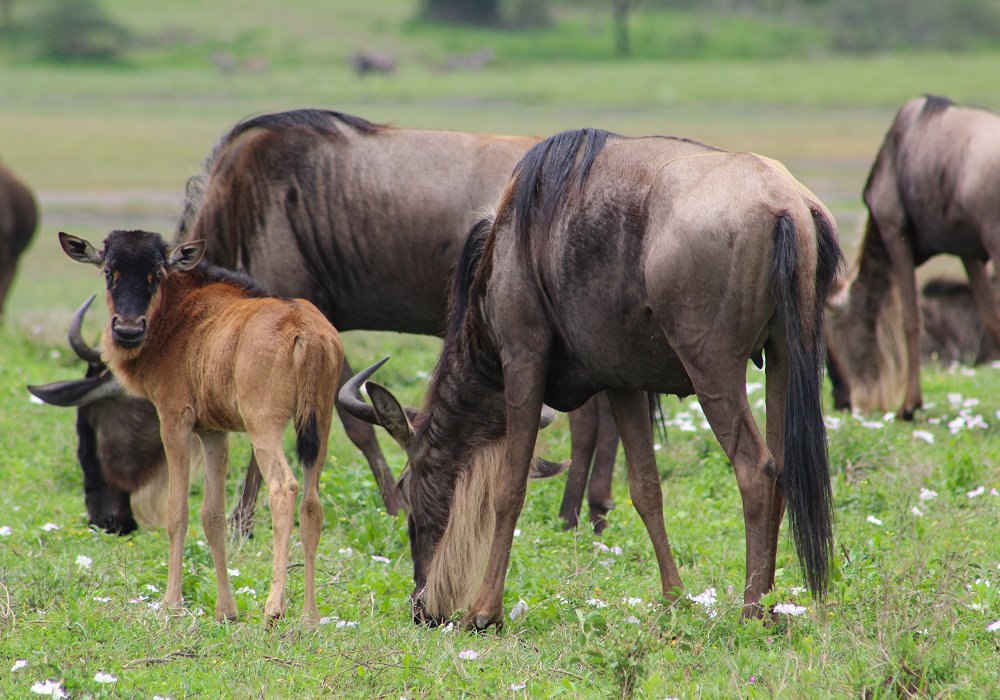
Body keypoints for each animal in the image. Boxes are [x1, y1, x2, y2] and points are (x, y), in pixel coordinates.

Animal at [62, 230, 346, 624]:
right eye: (108, 270)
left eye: (156, 273)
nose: (128, 329)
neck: (180, 317)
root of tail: (304, 328)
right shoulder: (214, 433)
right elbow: (212, 517)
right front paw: (226, 610)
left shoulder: (174, 422)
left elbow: (176, 513)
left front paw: (172, 604)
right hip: (321, 425)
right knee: (312, 503)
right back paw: (310, 615)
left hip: (264, 427)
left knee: (283, 489)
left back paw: (274, 608)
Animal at [340, 127, 840, 628]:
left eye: (405, 488)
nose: (420, 608)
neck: (510, 246)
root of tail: (787, 203)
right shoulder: (623, 380)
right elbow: (645, 489)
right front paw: (673, 599)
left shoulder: (523, 359)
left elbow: (511, 488)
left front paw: (485, 612)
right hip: (783, 356)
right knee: (782, 468)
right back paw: (770, 602)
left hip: (711, 365)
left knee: (756, 469)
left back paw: (751, 608)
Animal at [824, 95, 1000, 418]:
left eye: (829, 339)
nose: (841, 401)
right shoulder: (968, 251)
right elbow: (990, 318)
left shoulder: (896, 232)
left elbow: (910, 319)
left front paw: (909, 405)